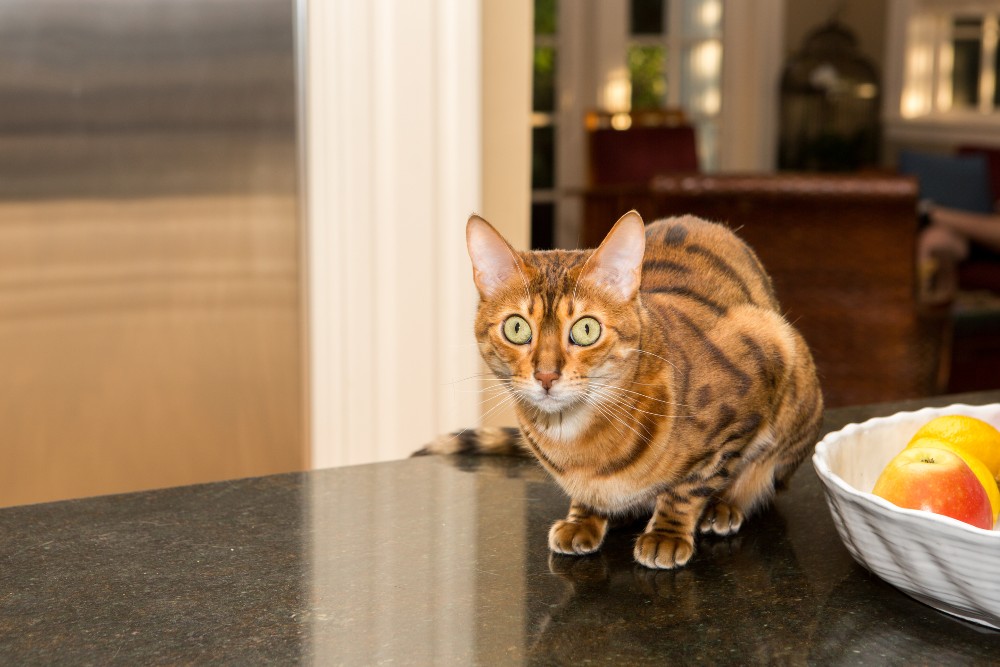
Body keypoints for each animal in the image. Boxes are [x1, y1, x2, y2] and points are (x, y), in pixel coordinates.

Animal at [418, 210, 824, 568]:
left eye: (586, 330)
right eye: (516, 328)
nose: (546, 376)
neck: (576, 442)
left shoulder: (761, 366)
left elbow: (694, 483)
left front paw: (667, 533)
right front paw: (582, 518)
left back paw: (723, 508)